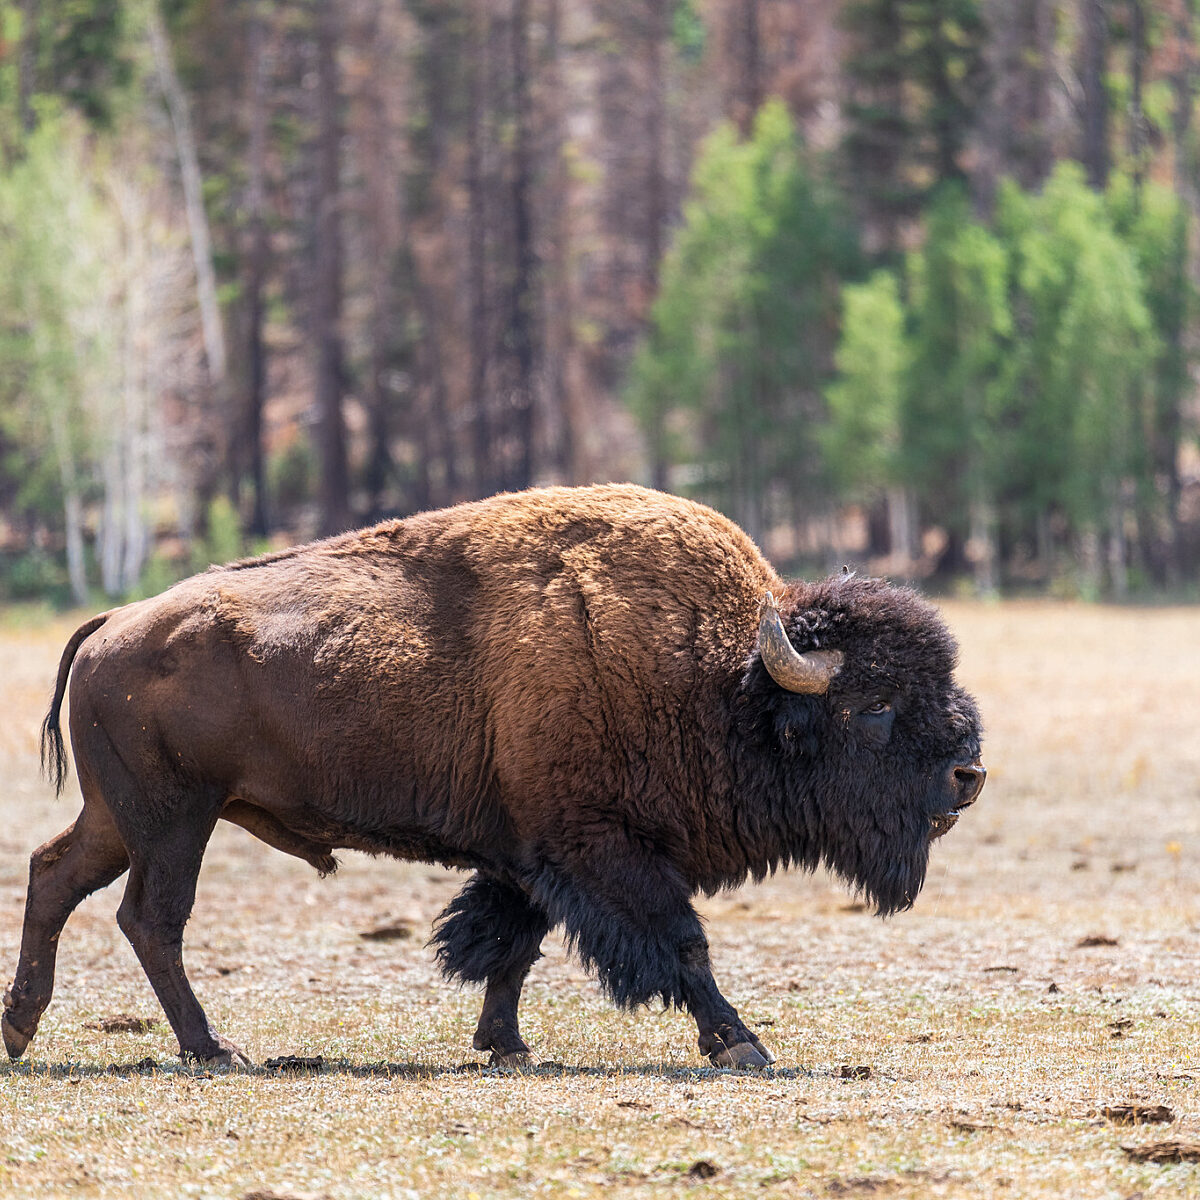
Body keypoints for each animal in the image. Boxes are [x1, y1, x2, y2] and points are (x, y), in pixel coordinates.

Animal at [4, 484, 984, 1069]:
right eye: (872, 706)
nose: (968, 775)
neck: (722, 677)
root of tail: (112, 625)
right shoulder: (603, 849)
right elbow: (680, 944)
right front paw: (740, 1045)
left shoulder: (533, 853)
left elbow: (513, 946)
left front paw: (504, 1044)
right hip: (176, 820)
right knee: (151, 919)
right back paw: (213, 1050)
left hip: (122, 818)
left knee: (54, 877)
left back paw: (19, 1031)